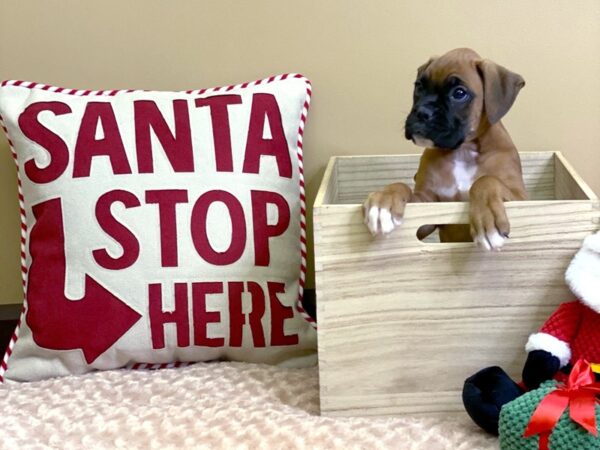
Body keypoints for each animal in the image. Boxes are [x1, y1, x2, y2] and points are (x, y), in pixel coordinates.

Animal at [360, 48, 524, 251]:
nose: (422, 112)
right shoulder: (427, 208)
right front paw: (384, 199)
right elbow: (402, 186)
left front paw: (488, 219)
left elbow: (486, 180)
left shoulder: (522, 197)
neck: (463, 150)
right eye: (419, 86)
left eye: (459, 93)